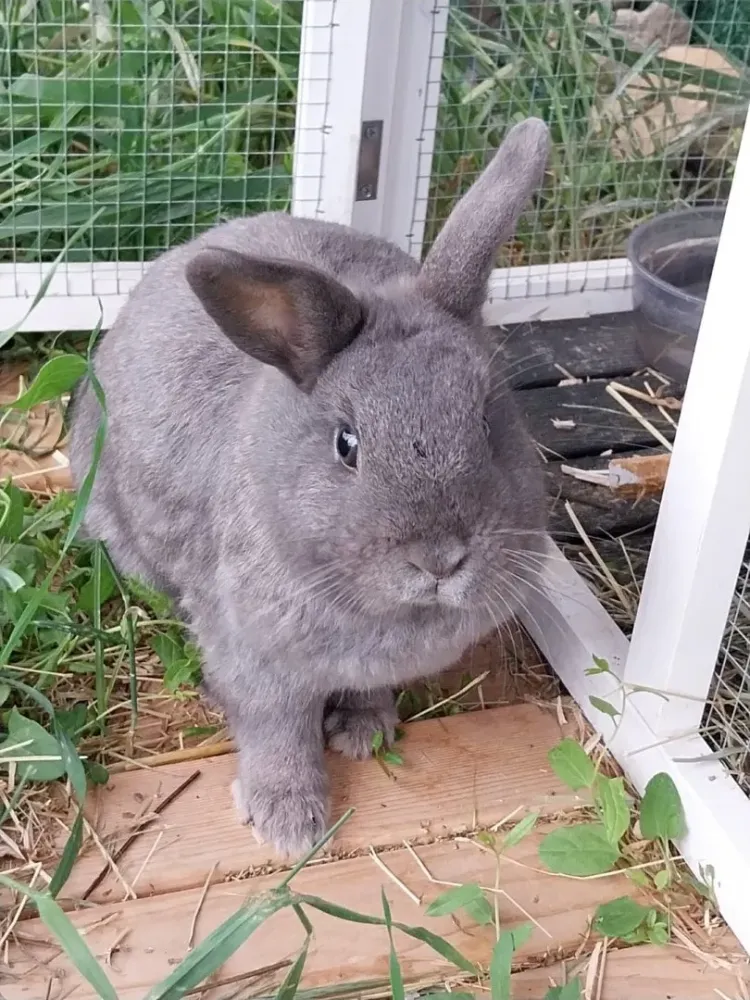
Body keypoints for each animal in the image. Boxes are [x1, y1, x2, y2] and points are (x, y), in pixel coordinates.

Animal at [69, 117, 551, 858]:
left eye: (487, 422)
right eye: (346, 444)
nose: (440, 558)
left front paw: (363, 732)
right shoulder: (259, 664)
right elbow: (278, 733)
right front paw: (288, 824)